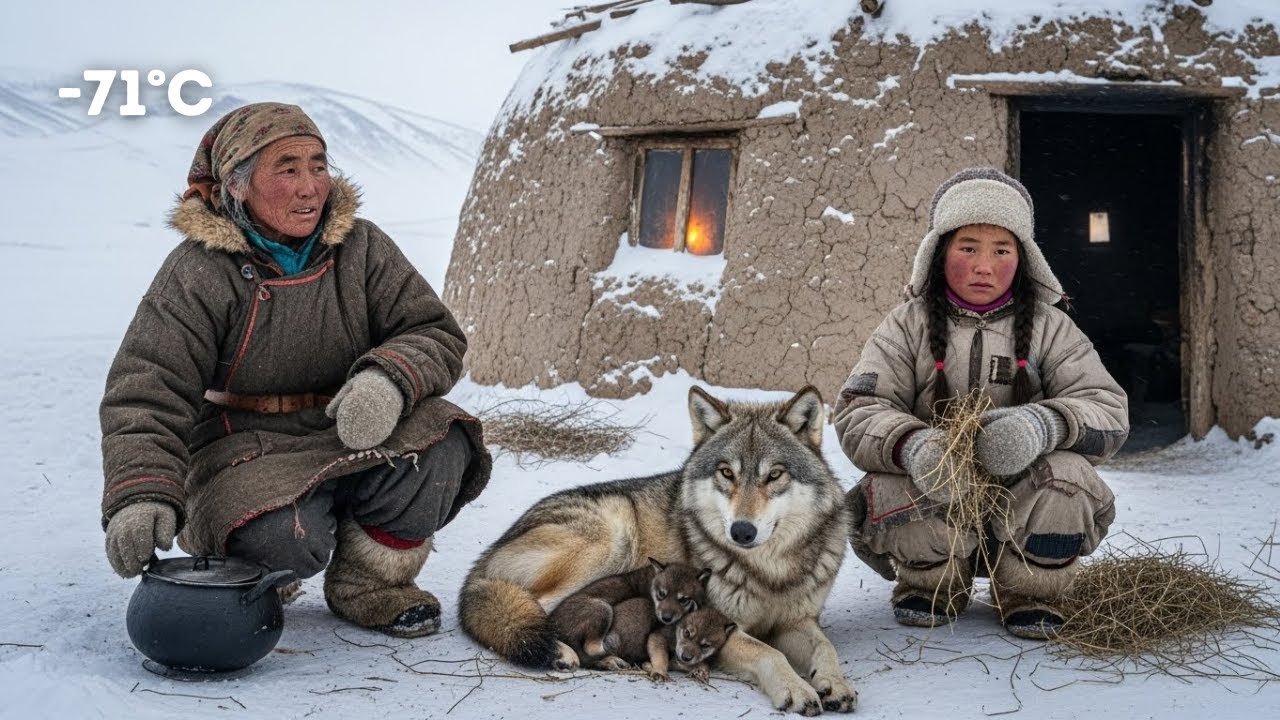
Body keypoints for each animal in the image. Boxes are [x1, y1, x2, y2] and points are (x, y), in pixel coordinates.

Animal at [459, 386, 856, 714]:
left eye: (774, 475)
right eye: (726, 473)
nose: (742, 531)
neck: (770, 569)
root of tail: (483, 562)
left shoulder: (798, 621)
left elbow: (826, 648)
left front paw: (834, 684)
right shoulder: (721, 627)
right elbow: (770, 653)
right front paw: (797, 689)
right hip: (611, 538)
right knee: (535, 610)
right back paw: (561, 652)